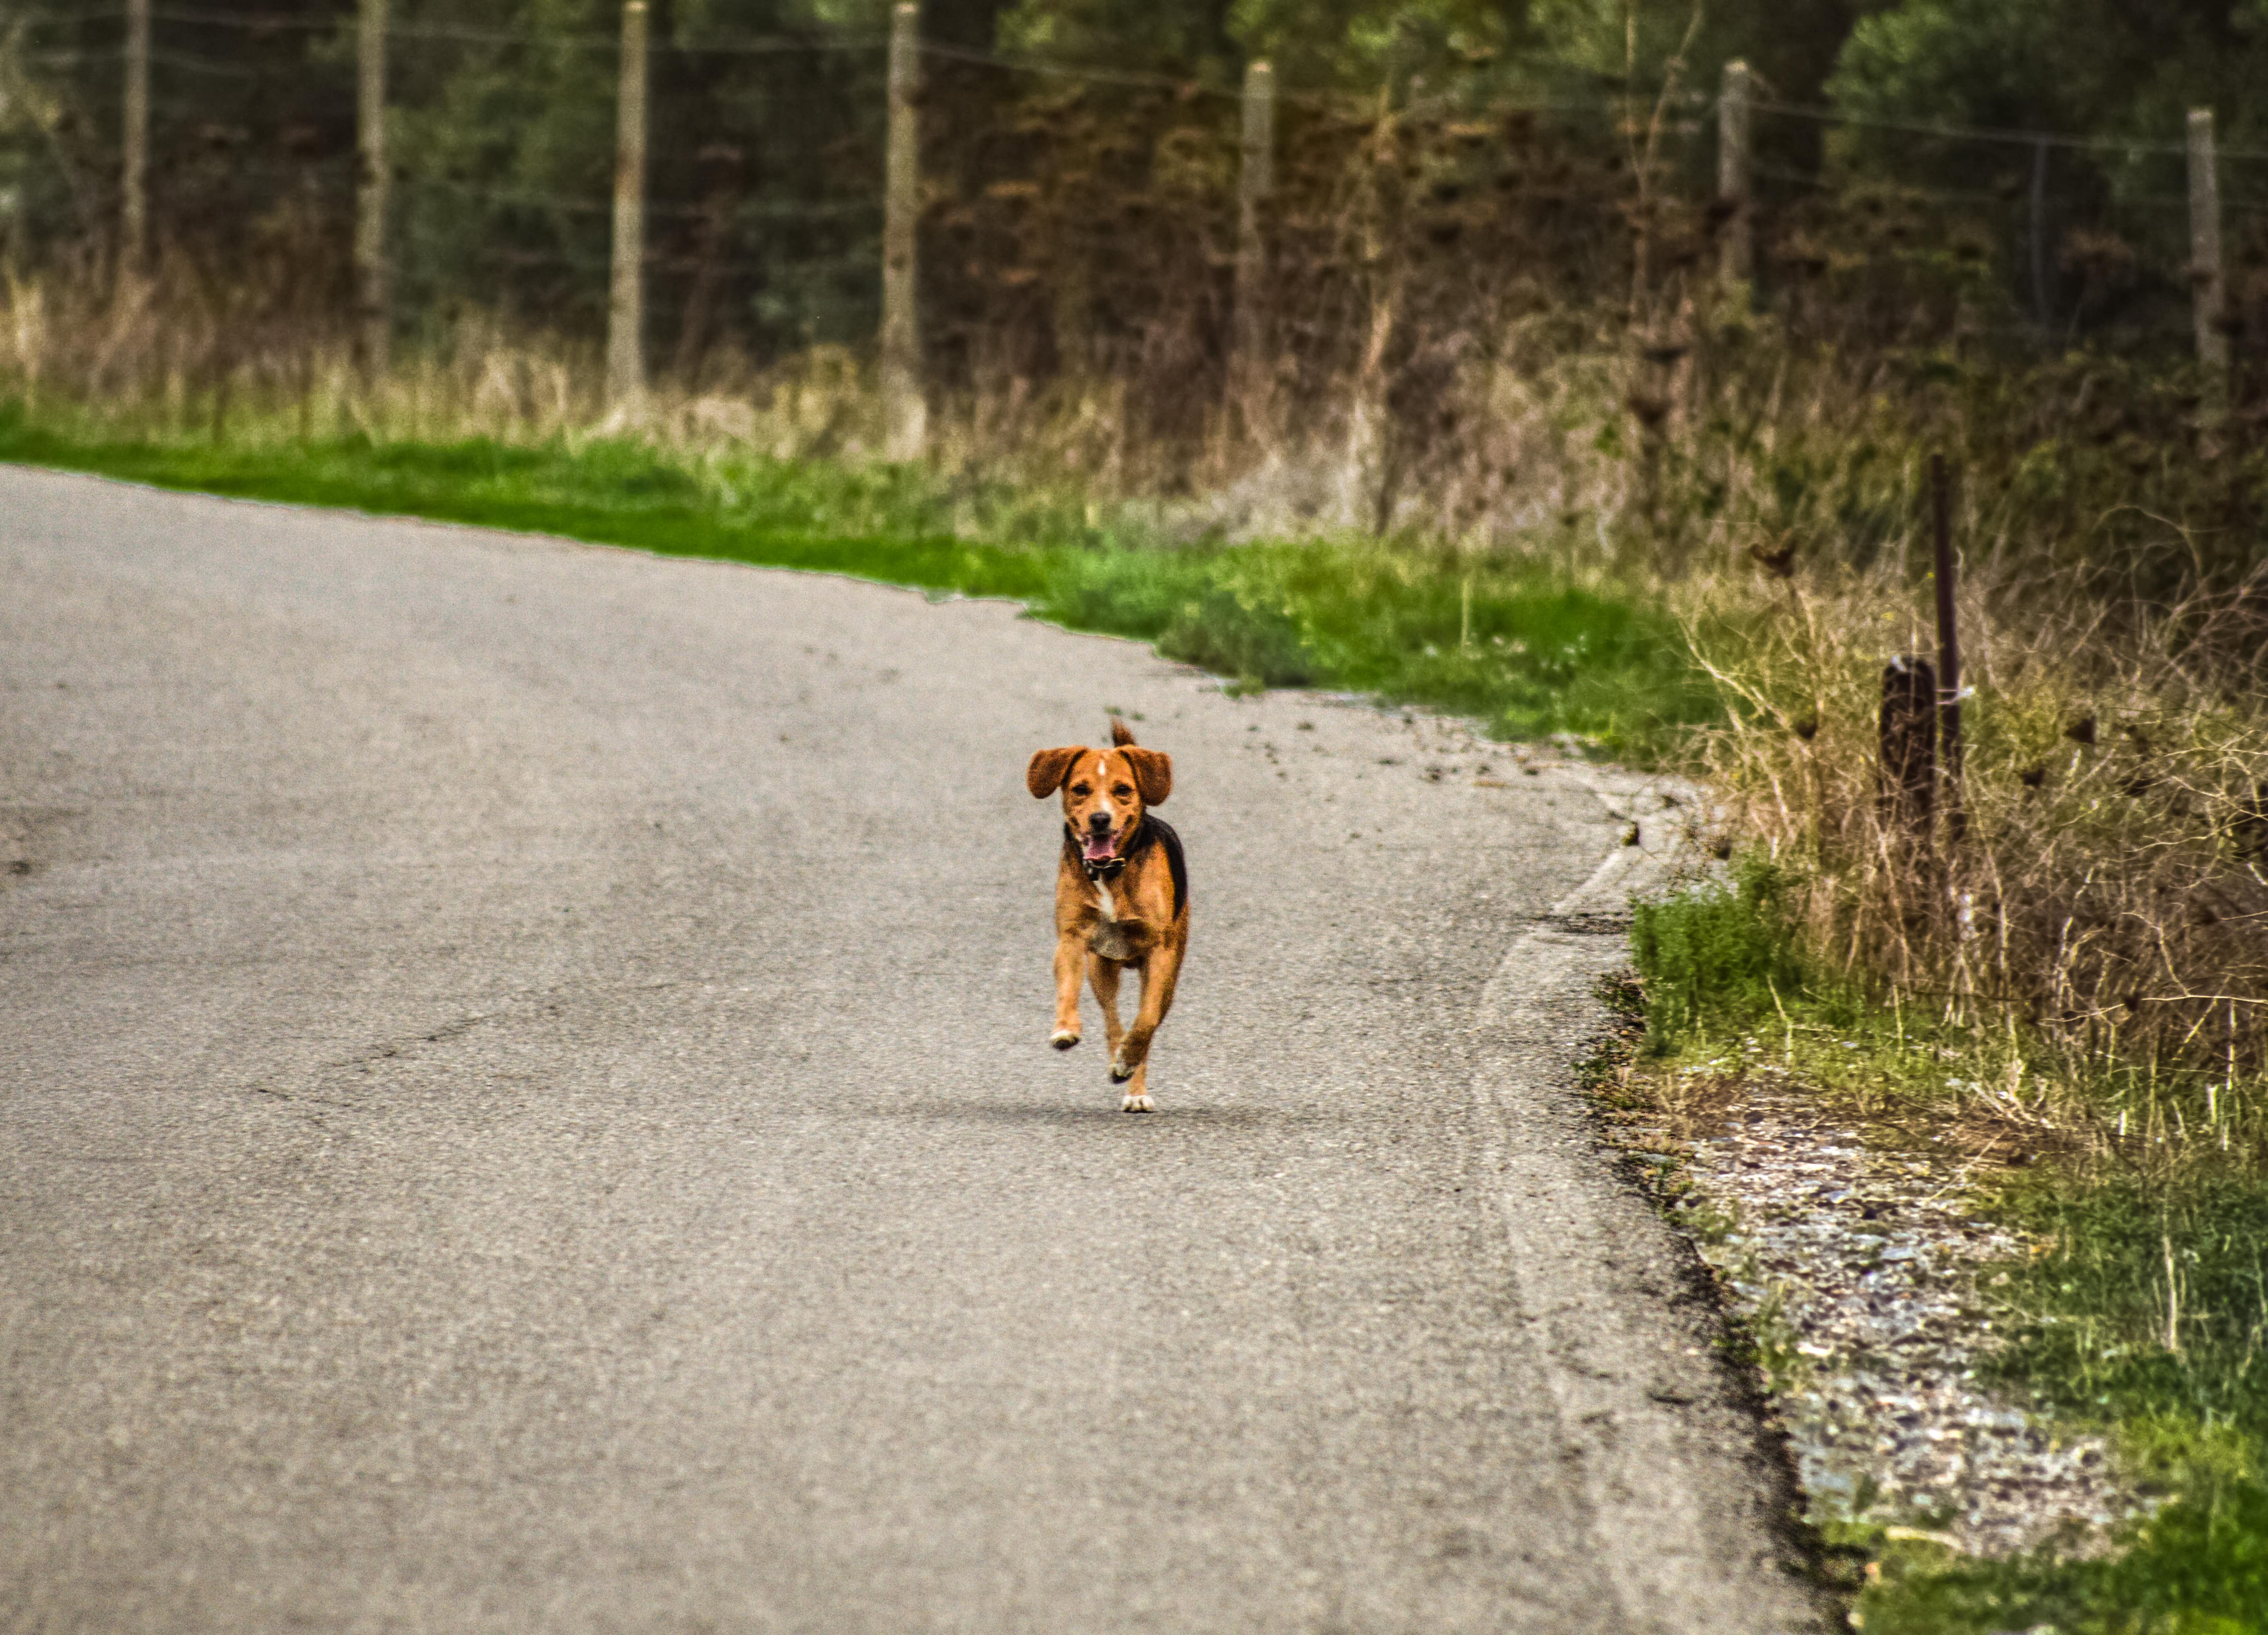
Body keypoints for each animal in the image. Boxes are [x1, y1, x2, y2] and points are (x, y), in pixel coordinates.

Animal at [1025, 717, 1188, 1111]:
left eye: (1123, 790)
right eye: (1080, 790)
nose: (1100, 819)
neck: (1110, 872)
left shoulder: (1161, 952)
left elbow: (1146, 1020)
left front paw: (1130, 1058)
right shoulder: (1073, 938)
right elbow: (1068, 989)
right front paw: (1065, 1029)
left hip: (1170, 972)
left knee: (1148, 1020)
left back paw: (1133, 1082)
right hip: (1102, 970)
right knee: (1113, 1021)